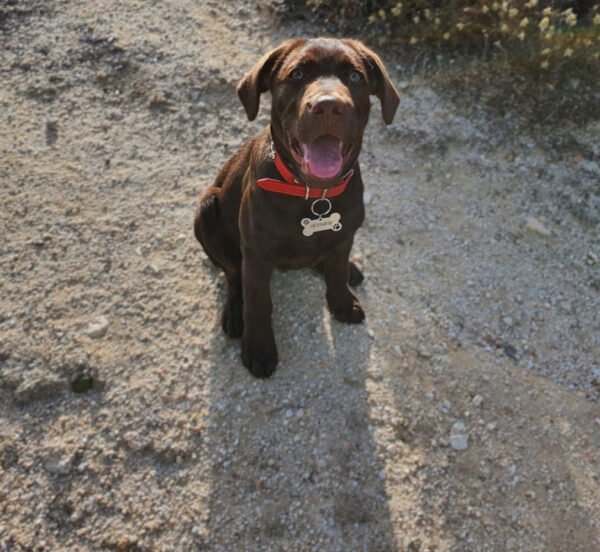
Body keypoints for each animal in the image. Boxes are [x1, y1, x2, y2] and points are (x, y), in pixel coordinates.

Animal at [196, 36, 398, 378]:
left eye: (355, 77)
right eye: (297, 75)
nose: (328, 106)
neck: (313, 193)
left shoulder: (345, 235)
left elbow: (336, 271)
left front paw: (342, 302)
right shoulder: (256, 254)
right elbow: (258, 301)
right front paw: (259, 348)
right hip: (206, 207)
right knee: (233, 273)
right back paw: (235, 313)